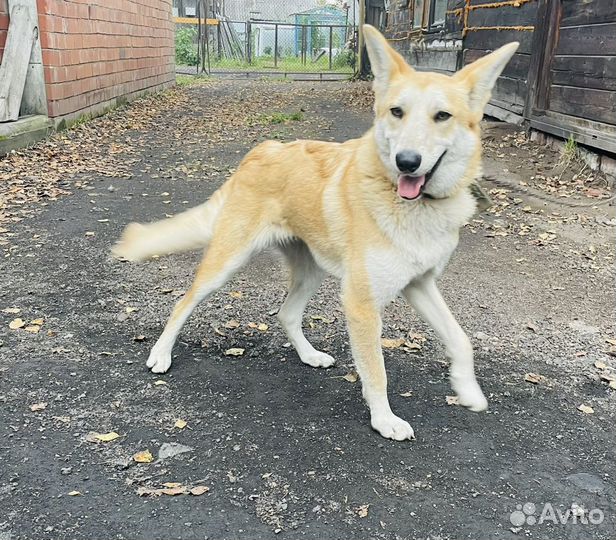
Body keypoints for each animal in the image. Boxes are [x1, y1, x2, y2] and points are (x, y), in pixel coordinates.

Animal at [113, 24, 516, 438]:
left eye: (442, 116)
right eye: (397, 112)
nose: (406, 162)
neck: (415, 206)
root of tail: (261, 150)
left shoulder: (419, 284)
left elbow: (461, 340)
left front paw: (468, 391)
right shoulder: (361, 303)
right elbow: (376, 371)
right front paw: (384, 419)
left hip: (312, 270)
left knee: (287, 314)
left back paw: (309, 355)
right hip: (226, 262)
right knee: (183, 302)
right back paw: (160, 354)